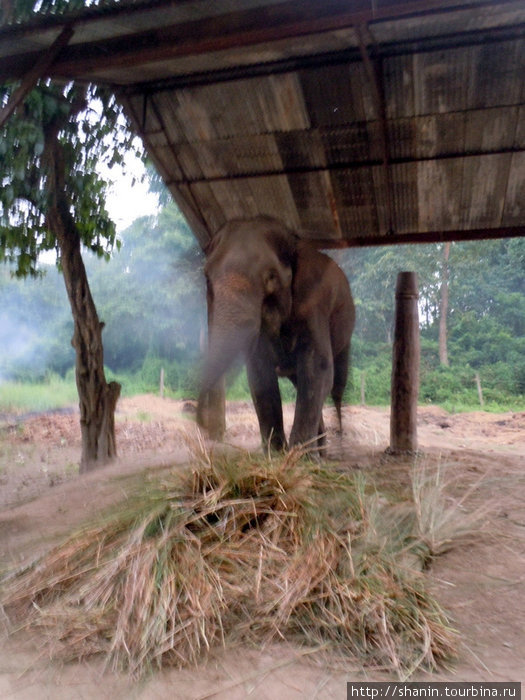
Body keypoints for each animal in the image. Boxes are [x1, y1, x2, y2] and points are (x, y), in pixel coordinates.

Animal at [198, 216, 356, 452]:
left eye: (271, 277)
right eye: (207, 277)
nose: (199, 420)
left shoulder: (314, 304)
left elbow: (317, 367)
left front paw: (300, 456)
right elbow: (260, 374)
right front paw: (276, 454)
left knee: (336, 384)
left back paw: (335, 441)